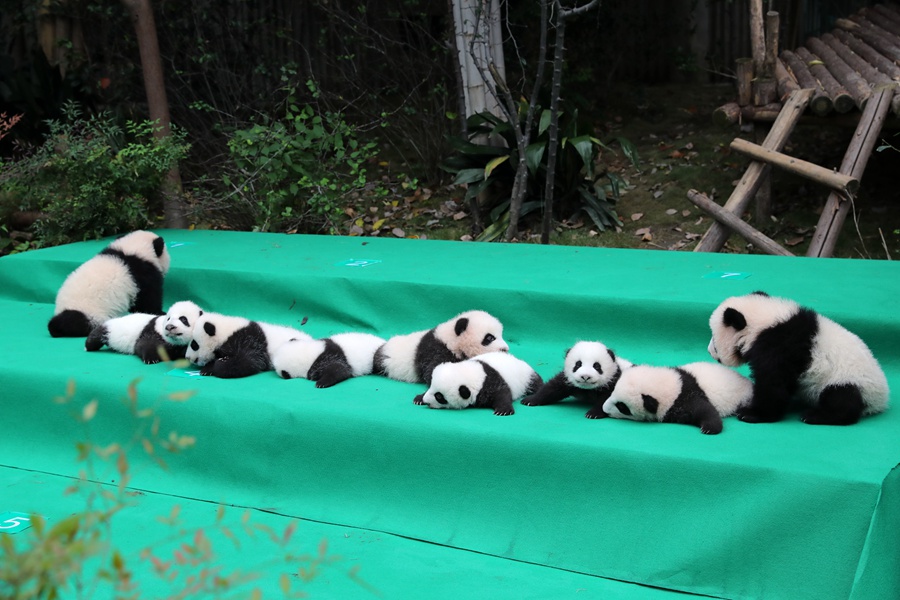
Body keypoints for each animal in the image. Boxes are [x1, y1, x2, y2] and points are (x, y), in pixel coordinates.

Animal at [373, 310, 509, 385]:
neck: (451, 340)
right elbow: (433, 371)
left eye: (501, 335)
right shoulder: (436, 350)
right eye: (489, 338)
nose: (505, 349)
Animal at [602, 362, 753, 434]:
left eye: (622, 407)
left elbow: (704, 410)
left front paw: (710, 428)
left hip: (743, 396)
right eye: (613, 392)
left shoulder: (685, 397)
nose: (605, 409)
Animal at [708, 291, 890, 425]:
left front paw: (752, 413)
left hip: (848, 380)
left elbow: (773, 382)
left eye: (714, 339)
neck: (763, 324)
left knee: (841, 400)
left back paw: (815, 416)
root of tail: (880, 400)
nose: (709, 351)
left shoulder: (778, 347)